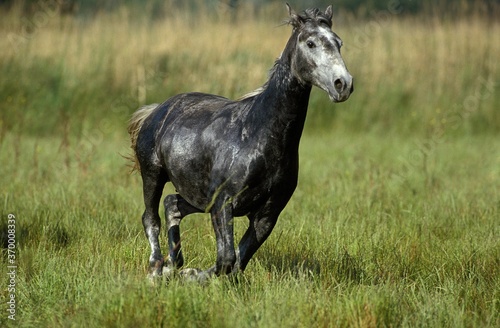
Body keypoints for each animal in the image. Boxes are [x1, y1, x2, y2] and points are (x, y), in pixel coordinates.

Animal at [129, 3, 356, 280]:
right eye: (311, 43)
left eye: (339, 43)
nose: (343, 84)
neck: (259, 136)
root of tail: (155, 110)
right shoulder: (223, 203)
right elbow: (226, 259)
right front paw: (191, 275)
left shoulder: (267, 214)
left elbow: (236, 261)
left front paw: (191, 273)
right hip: (153, 174)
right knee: (151, 218)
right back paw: (157, 269)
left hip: (197, 195)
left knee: (172, 204)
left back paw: (174, 263)